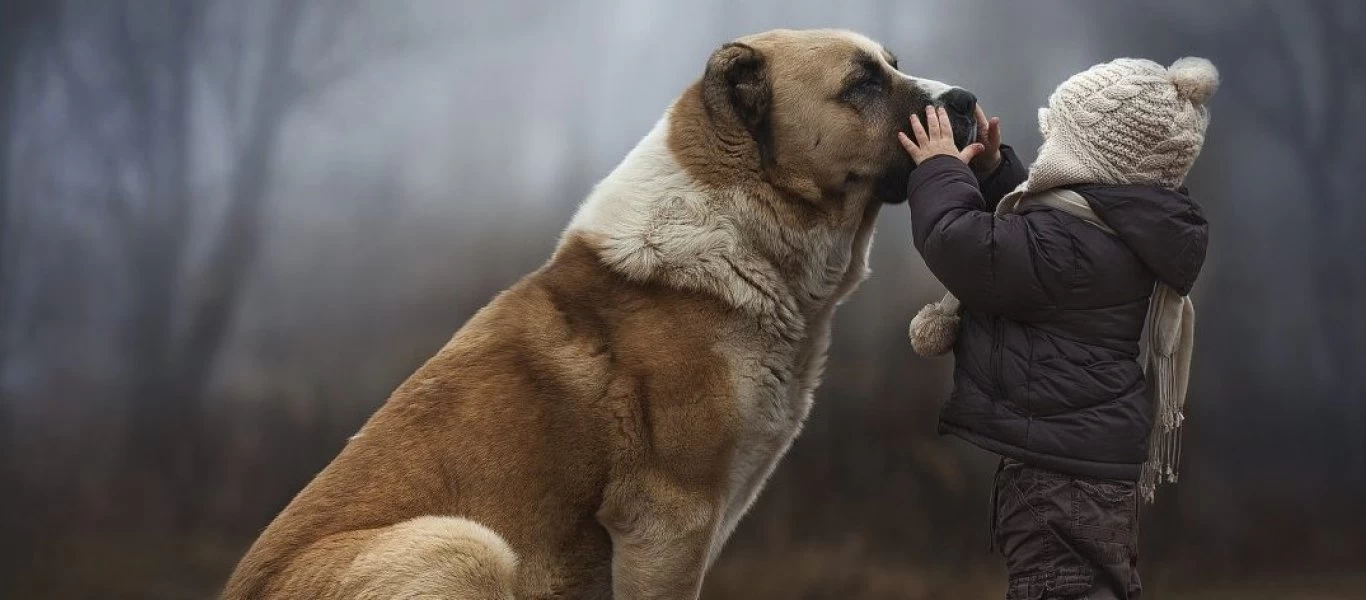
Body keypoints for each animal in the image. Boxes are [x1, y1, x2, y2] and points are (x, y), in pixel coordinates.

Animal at [221, 29, 972, 600]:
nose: (965, 100)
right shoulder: (668, 521)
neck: (743, 230)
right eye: (861, 84)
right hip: (465, 544)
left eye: (893, 65)